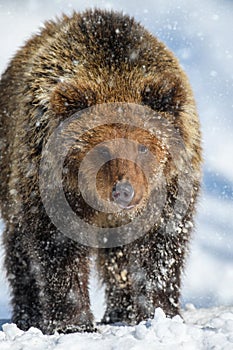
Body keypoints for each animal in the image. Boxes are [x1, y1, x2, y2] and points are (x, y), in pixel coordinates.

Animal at [0, 9, 201, 334]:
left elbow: (160, 247)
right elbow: (57, 248)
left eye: (143, 147)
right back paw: (27, 314)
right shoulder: (52, 187)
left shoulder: (170, 187)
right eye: (101, 150)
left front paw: (160, 312)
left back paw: (121, 310)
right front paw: (73, 322)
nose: (124, 191)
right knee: (19, 248)